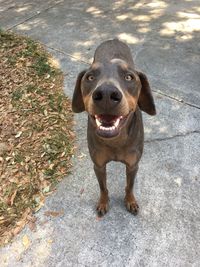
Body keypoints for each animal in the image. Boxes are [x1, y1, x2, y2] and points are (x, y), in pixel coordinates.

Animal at [72, 38, 156, 217]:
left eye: (129, 77)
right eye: (90, 77)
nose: (106, 94)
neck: (116, 141)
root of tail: (113, 39)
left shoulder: (132, 165)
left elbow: (129, 186)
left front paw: (130, 201)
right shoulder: (98, 165)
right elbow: (103, 187)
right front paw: (103, 202)